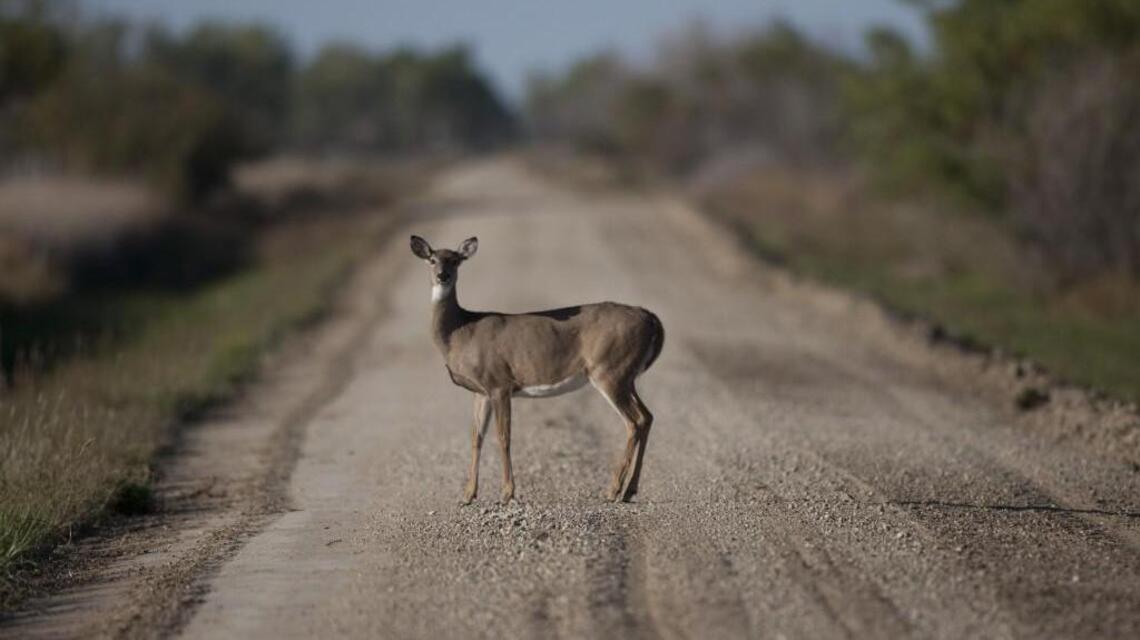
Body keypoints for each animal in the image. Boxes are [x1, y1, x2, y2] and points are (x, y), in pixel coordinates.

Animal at [410, 235, 664, 504]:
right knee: (647, 416)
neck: (459, 332)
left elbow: (503, 437)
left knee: (634, 422)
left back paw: (613, 490)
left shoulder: (499, 383)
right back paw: (629, 490)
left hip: (609, 370)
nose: (442, 276)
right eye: (432, 259)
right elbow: (476, 437)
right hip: (626, 376)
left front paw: (507, 493)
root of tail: (651, 318)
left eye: (456, 260)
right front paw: (468, 495)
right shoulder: (481, 391)